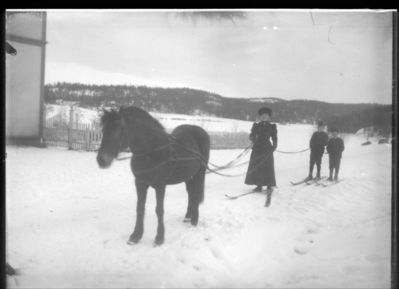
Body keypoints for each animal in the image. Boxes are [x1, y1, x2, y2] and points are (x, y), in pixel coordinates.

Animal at [97, 104, 211, 244]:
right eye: (103, 130)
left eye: (117, 129)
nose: (101, 160)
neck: (151, 150)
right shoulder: (140, 183)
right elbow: (140, 208)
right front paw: (136, 235)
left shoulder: (160, 186)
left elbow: (159, 210)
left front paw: (159, 237)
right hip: (188, 175)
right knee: (190, 193)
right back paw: (188, 217)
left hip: (199, 173)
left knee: (195, 193)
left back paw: (194, 220)